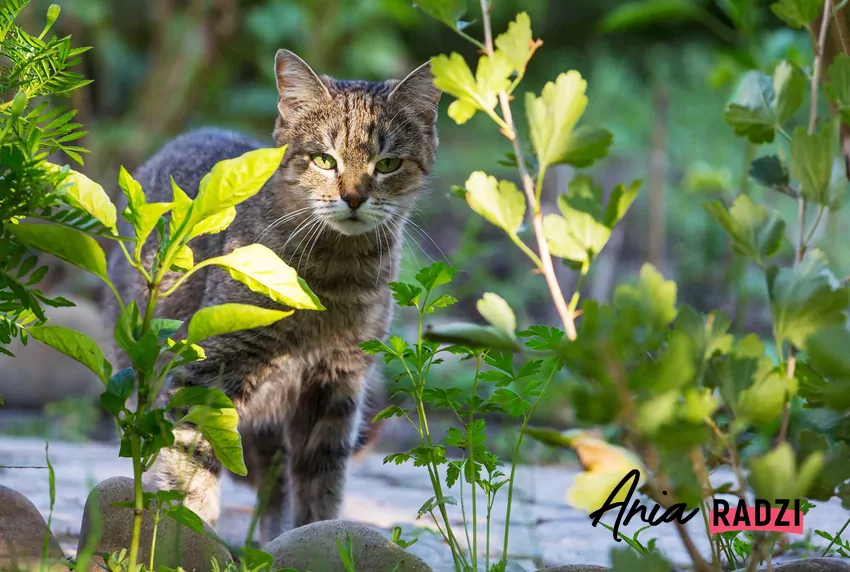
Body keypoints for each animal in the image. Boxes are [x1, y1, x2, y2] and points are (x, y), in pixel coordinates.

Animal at [102, 50, 440, 540]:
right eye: (324, 160)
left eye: (388, 164)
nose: (354, 197)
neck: (332, 281)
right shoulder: (208, 371)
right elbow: (191, 465)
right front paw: (189, 535)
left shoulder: (337, 383)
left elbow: (320, 480)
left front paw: (311, 535)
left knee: (273, 479)